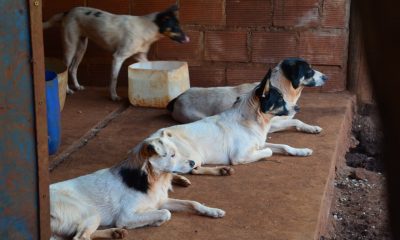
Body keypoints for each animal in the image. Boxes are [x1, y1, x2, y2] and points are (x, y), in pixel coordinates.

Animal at [43, 4, 190, 100]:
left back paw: (77, 86)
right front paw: (113, 96)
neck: (149, 27)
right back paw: (67, 90)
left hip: (81, 47)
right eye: (176, 27)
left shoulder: (141, 57)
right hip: (70, 47)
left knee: (73, 69)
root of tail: (67, 12)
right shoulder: (118, 57)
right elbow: (114, 79)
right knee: (66, 68)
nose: (188, 39)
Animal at [48, 138, 223, 239]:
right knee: (80, 238)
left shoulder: (161, 201)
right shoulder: (125, 216)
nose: (193, 163)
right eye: (172, 155)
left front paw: (213, 211)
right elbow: (165, 213)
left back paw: (115, 232)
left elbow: (193, 203)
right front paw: (156, 221)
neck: (152, 179)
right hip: (90, 212)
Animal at [146, 69, 306, 178]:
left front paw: (301, 151)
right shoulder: (241, 155)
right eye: (280, 99)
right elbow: (269, 151)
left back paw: (221, 170)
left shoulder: (259, 144)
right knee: (173, 172)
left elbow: (283, 146)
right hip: (190, 157)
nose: (298, 108)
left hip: (195, 159)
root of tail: (151, 140)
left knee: (194, 170)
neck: (249, 120)